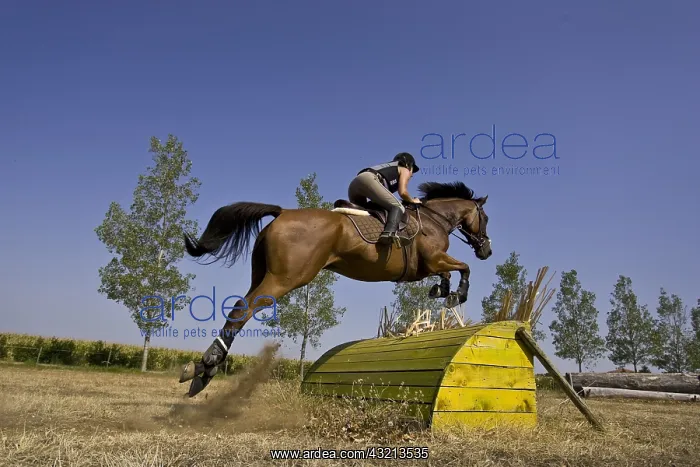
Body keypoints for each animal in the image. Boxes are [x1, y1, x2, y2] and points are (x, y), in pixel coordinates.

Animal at [178, 180, 492, 397]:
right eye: (486, 219)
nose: (486, 251)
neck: (434, 220)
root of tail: (282, 213)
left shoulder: (429, 266)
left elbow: (450, 272)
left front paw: (442, 290)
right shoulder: (433, 259)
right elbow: (463, 267)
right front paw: (457, 294)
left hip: (262, 273)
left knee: (240, 305)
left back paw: (203, 369)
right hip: (285, 278)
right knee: (244, 308)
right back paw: (208, 365)